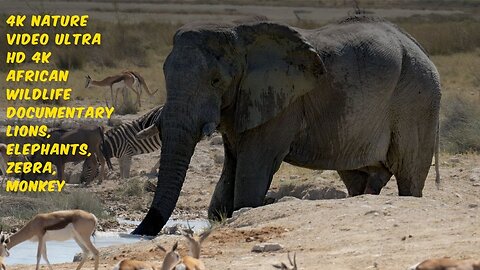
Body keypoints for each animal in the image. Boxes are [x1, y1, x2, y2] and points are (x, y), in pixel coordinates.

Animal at [133, 15, 440, 235]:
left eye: (216, 81)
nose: (137, 234)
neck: (240, 36)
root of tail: (418, 46)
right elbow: (229, 172)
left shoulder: (281, 104)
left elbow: (253, 172)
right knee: (358, 178)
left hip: (418, 98)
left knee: (409, 177)